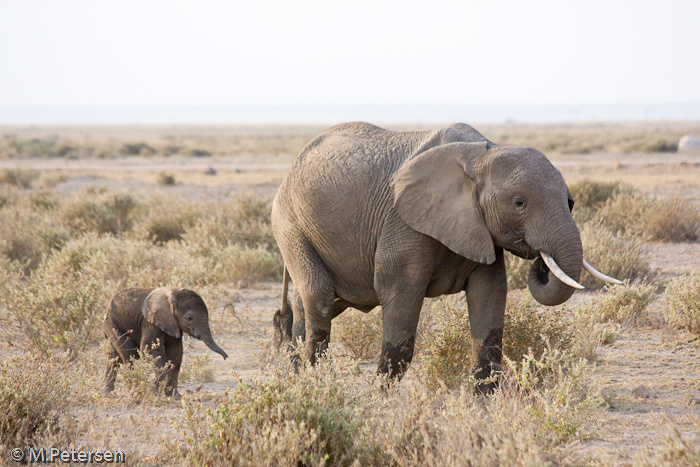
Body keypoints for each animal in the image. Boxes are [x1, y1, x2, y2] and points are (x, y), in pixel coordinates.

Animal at [270, 121, 620, 392]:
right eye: (519, 203)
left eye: (571, 202)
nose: (540, 261)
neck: (481, 154)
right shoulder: (404, 222)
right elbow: (399, 298)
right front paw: (380, 402)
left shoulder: (478, 227)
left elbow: (490, 299)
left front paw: (483, 407)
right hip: (290, 224)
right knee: (319, 299)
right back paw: (313, 385)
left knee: (310, 307)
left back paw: (296, 378)